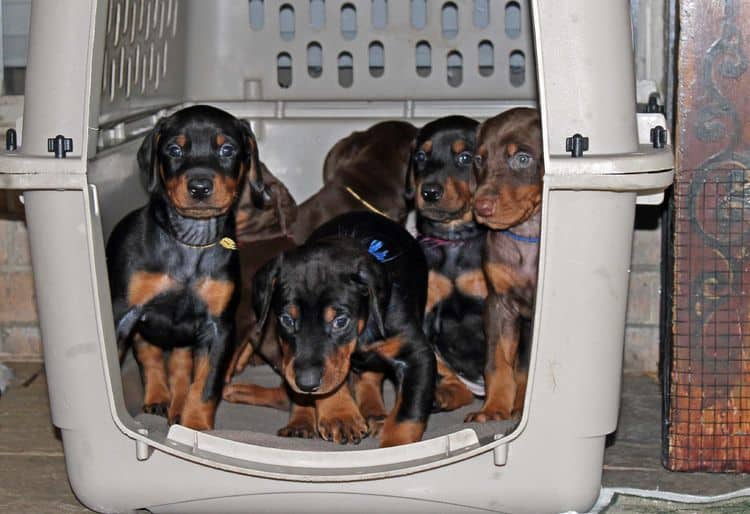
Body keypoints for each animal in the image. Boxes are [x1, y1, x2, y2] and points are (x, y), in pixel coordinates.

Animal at [107, 104, 266, 428]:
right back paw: (157, 397)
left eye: (227, 149)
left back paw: (176, 405)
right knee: (150, 355)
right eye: (174, 149)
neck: (191, 241)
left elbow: (205, 385)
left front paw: (194, 426)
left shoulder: (219, 327)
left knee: (180, 365)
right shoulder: (124, 314)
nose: (200, 187)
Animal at [406, 114, 488, 410]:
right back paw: (448, 394)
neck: (453, 240)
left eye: (465, 157)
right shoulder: (428, 313)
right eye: (420, 156)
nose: (429, 192)